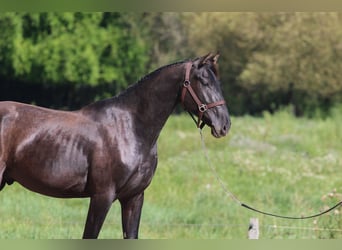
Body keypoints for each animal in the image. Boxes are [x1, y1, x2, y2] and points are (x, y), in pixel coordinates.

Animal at [0, 53, 231, 238]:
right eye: (204, 81)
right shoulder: (102, 197)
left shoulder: (134, 198)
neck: (130, 128)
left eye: (218, 82)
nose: (224, 125)